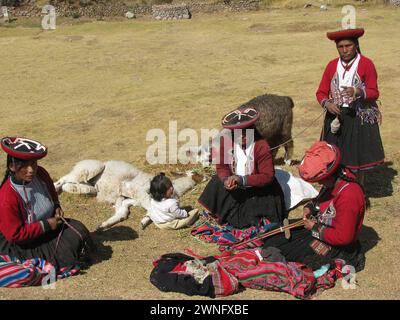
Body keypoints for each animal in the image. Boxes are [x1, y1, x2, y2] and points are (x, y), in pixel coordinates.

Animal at [54, 160, 318, 230]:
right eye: (198, 175)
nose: (208, 172)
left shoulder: (130, 200)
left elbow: (124, 211)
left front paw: (105, 225)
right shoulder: (140, 195)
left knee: (77, 184)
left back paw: (82, 190)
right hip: (90, 168)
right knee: (65, 179)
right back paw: (59, 188)